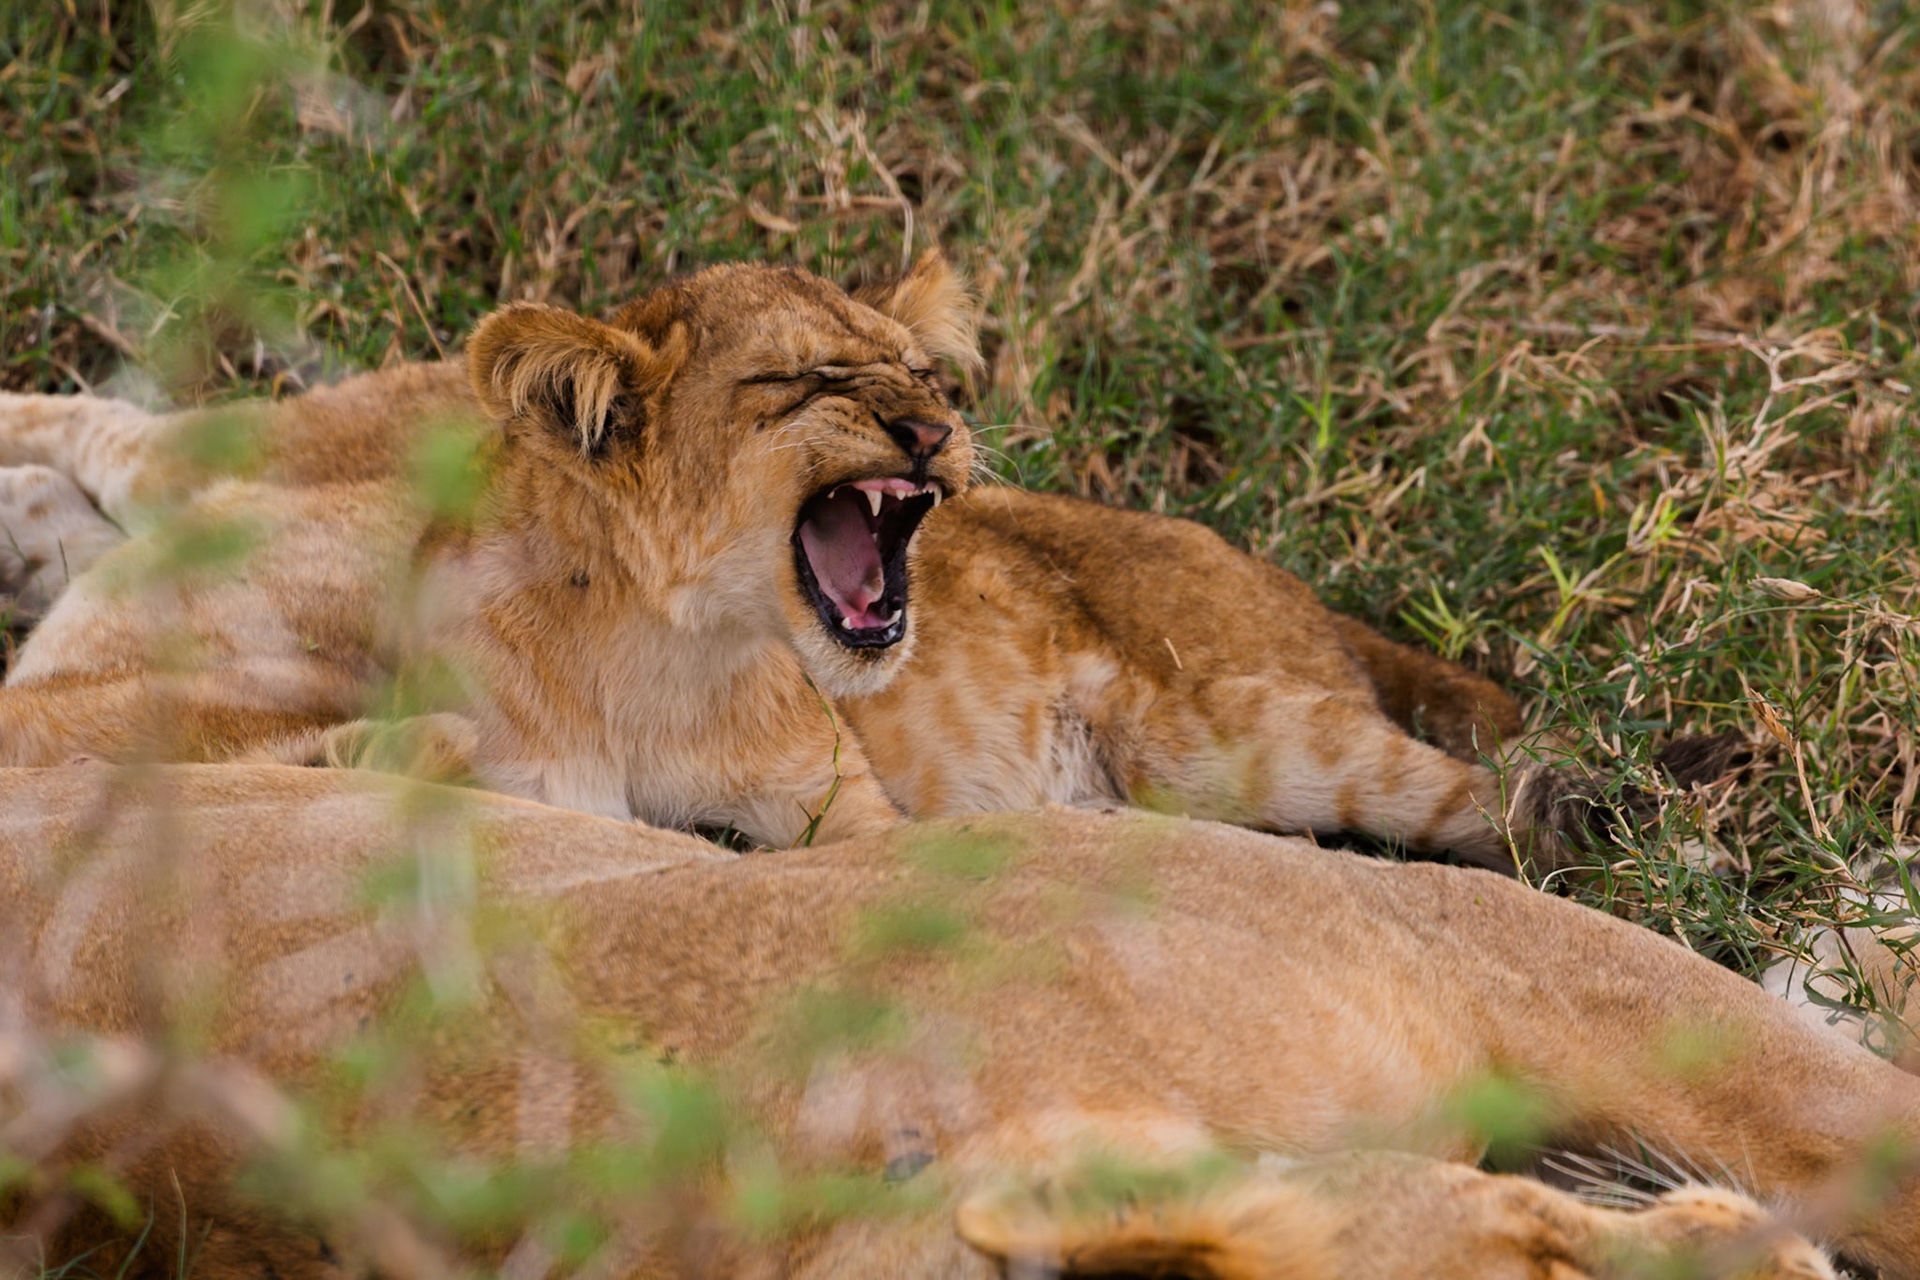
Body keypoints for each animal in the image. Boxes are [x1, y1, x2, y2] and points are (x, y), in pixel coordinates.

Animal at [0, 254, 1641, 865]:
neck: (670, 649)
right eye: (811, 384)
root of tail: (1299, 594)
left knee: (1479, 795)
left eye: (919, 369)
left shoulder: (843, 814)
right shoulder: (550, 782)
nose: (937, 424)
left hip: (1237, 735)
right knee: (125, 438)